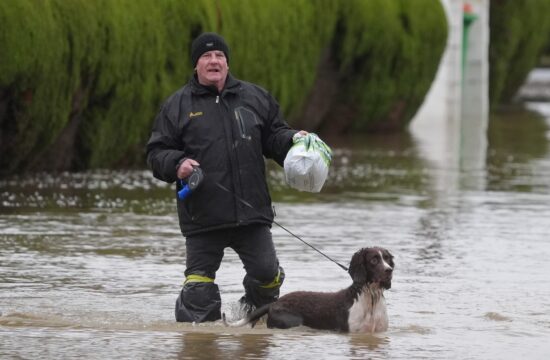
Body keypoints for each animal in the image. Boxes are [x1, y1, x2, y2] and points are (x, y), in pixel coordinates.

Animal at [224, 246, 396, 334]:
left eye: (387, 259)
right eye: (374, 260)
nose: (389, 271)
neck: (371, 298)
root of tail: (274, 303)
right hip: (290, 321)